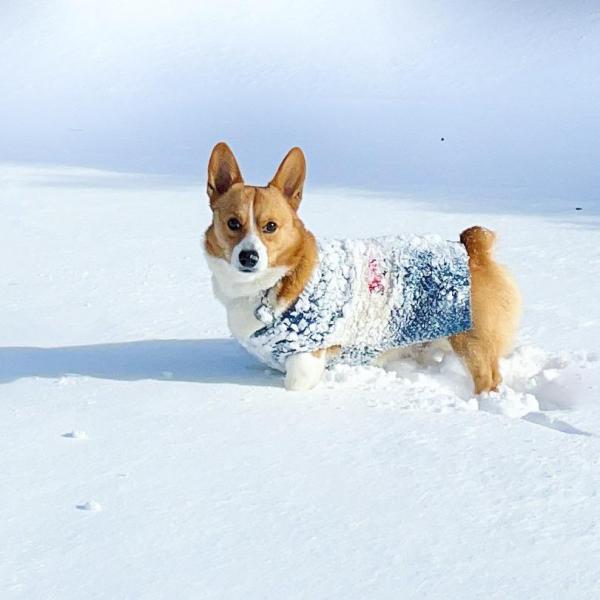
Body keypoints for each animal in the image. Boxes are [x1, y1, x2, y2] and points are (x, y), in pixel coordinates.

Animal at [203, 142, 520, 394]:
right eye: (233, 223)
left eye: (270, 226)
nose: (249, 257)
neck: (271, 283)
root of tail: (473, 249)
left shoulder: (307, 356)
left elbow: (294, 383)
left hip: (471, 341)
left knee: (489, 378)